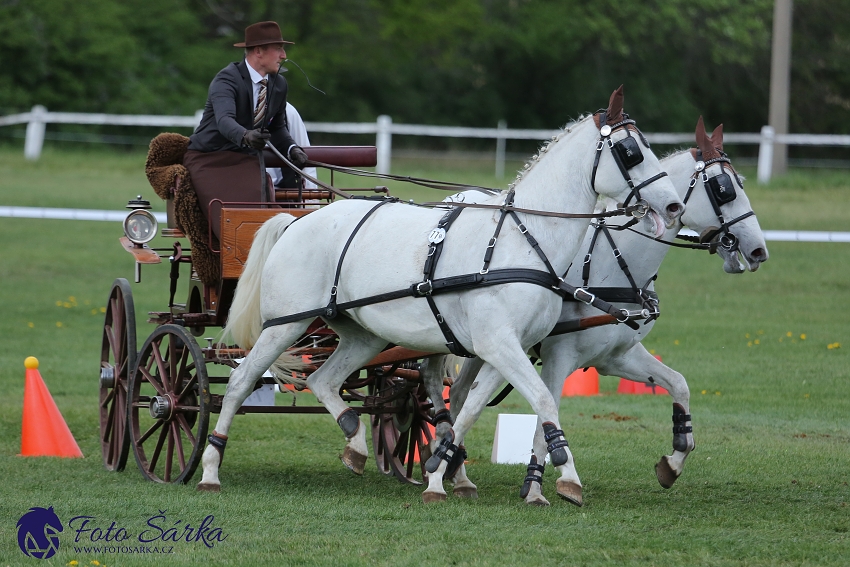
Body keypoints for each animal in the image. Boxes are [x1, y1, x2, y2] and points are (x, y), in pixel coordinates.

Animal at [194, 86, 684, 504]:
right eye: (631, 151)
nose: (674, 204)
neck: (524, 238)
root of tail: (294, 221)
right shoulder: (498, 344)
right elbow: (541, 401)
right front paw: (566, 477)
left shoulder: (506, 348)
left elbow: (467, 409)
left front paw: (440, 471)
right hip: (285, 325)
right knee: (240, 383)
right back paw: (210, 469)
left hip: (363, 333)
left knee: (324, 380)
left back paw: (355, 444)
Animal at [422, 115, 768, 506]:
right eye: (724, 188)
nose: (759, 250)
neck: (612, 264)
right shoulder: (558, 357)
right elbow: (545, 416)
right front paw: (542, 485)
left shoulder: (615, 356)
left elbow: (678, 384)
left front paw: (673, 461)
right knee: (443, 389)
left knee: (460, 394)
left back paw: (456, 471)